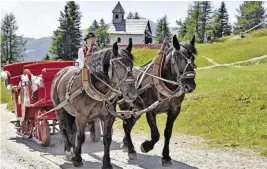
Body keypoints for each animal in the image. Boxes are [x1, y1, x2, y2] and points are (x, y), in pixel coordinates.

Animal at [51, 41, 138, 169]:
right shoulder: (81, 117)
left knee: (72, 130)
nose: (132, 94)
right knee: (63, 128)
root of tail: (60, 72)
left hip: (72, 113)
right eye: (117, 66)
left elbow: (107, 139)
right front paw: (78, 159)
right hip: (60, 109)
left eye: (131, 66)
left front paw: (106, 163)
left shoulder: (108, 117)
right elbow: (81, 137)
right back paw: (68, 150)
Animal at [118, 34, 198, 166]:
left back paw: (126, 144)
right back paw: (131, 151)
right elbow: (156, 134)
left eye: (193, 57)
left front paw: (166, 157)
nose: (190, 85)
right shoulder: (150, 110)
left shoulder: (174, 110)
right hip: (124, 105)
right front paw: (146, 146)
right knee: (125, 125)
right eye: (177, 58)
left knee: (129, 125)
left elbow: (167, 133)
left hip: (136, 110)